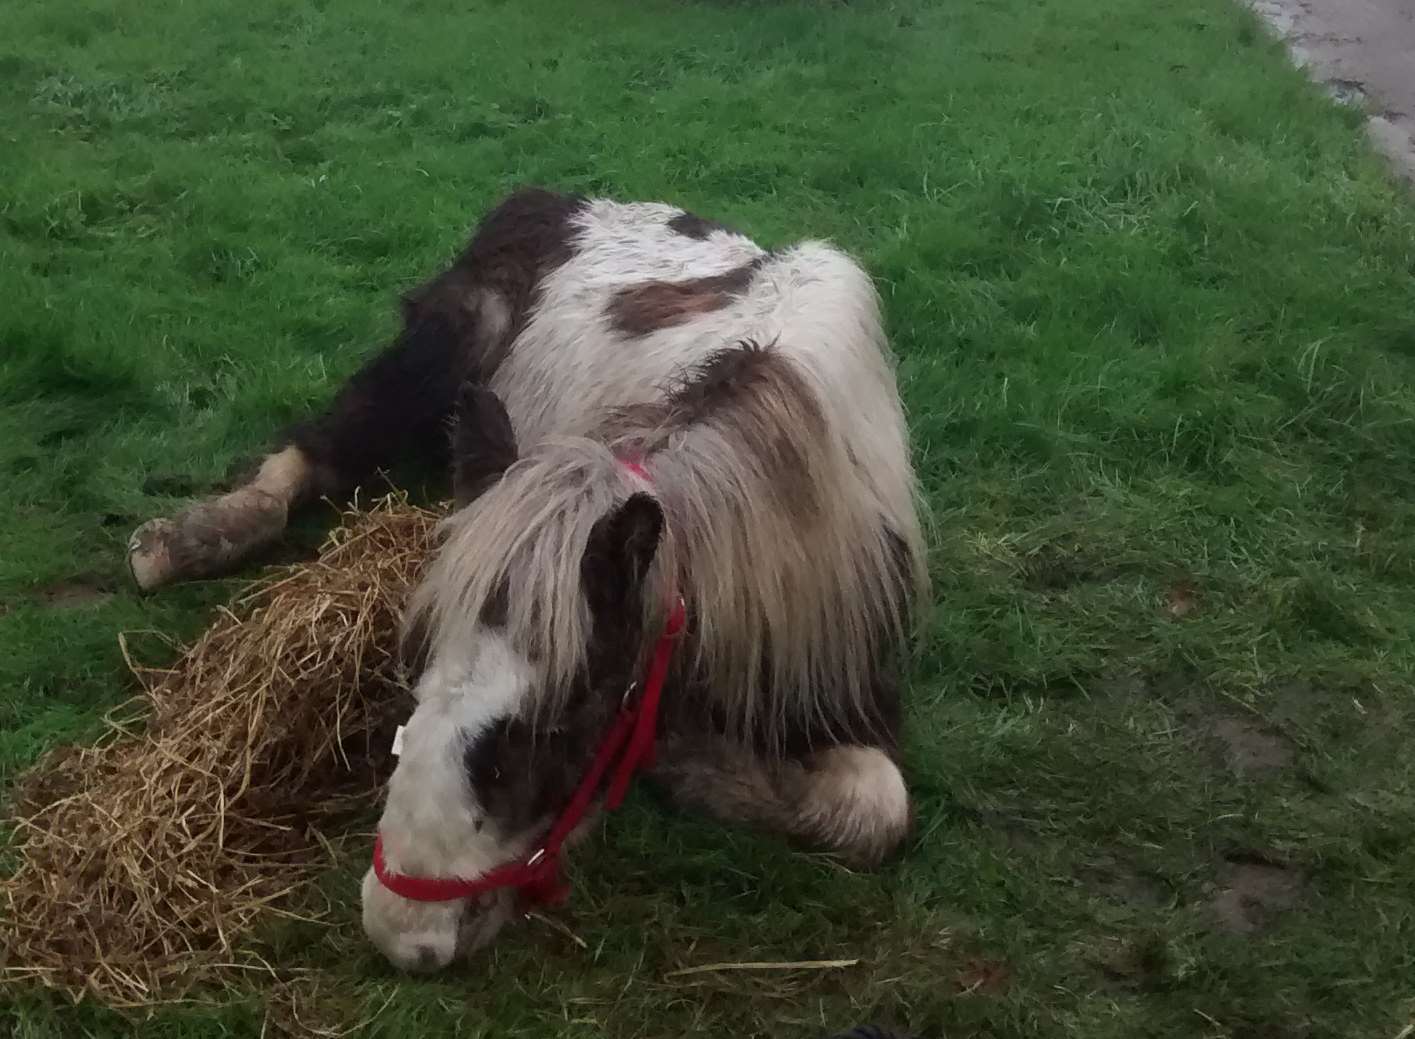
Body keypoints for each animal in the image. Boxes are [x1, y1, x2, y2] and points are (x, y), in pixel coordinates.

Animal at [127, 189, 928, 973]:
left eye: (563, 713)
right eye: (412, 667)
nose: (401, 931)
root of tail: (555, 200)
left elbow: (876, 808)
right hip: (446, 344)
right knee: (314, 452)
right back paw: (182, 541)